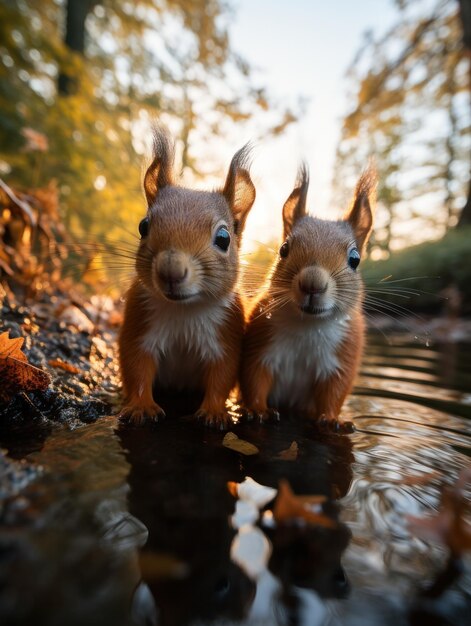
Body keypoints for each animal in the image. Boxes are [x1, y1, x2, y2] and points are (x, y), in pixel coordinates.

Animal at [120, 127, 256, 428]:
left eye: (223, 238)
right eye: (143, 226)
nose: (170, 271)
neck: (184, 309)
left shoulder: (224, 339)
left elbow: (221, 376)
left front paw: (215, 412)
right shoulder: (140, 328)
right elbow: (138, 368)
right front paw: (142, 407)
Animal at [240, 163, 376, 432]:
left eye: (355, 259)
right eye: (283, 249)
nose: (312, 284)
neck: (308, 326)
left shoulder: (342, 358)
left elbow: (334, 392)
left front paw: (332, 419)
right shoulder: (260, 345)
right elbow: (255, 378)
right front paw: (257, 410)